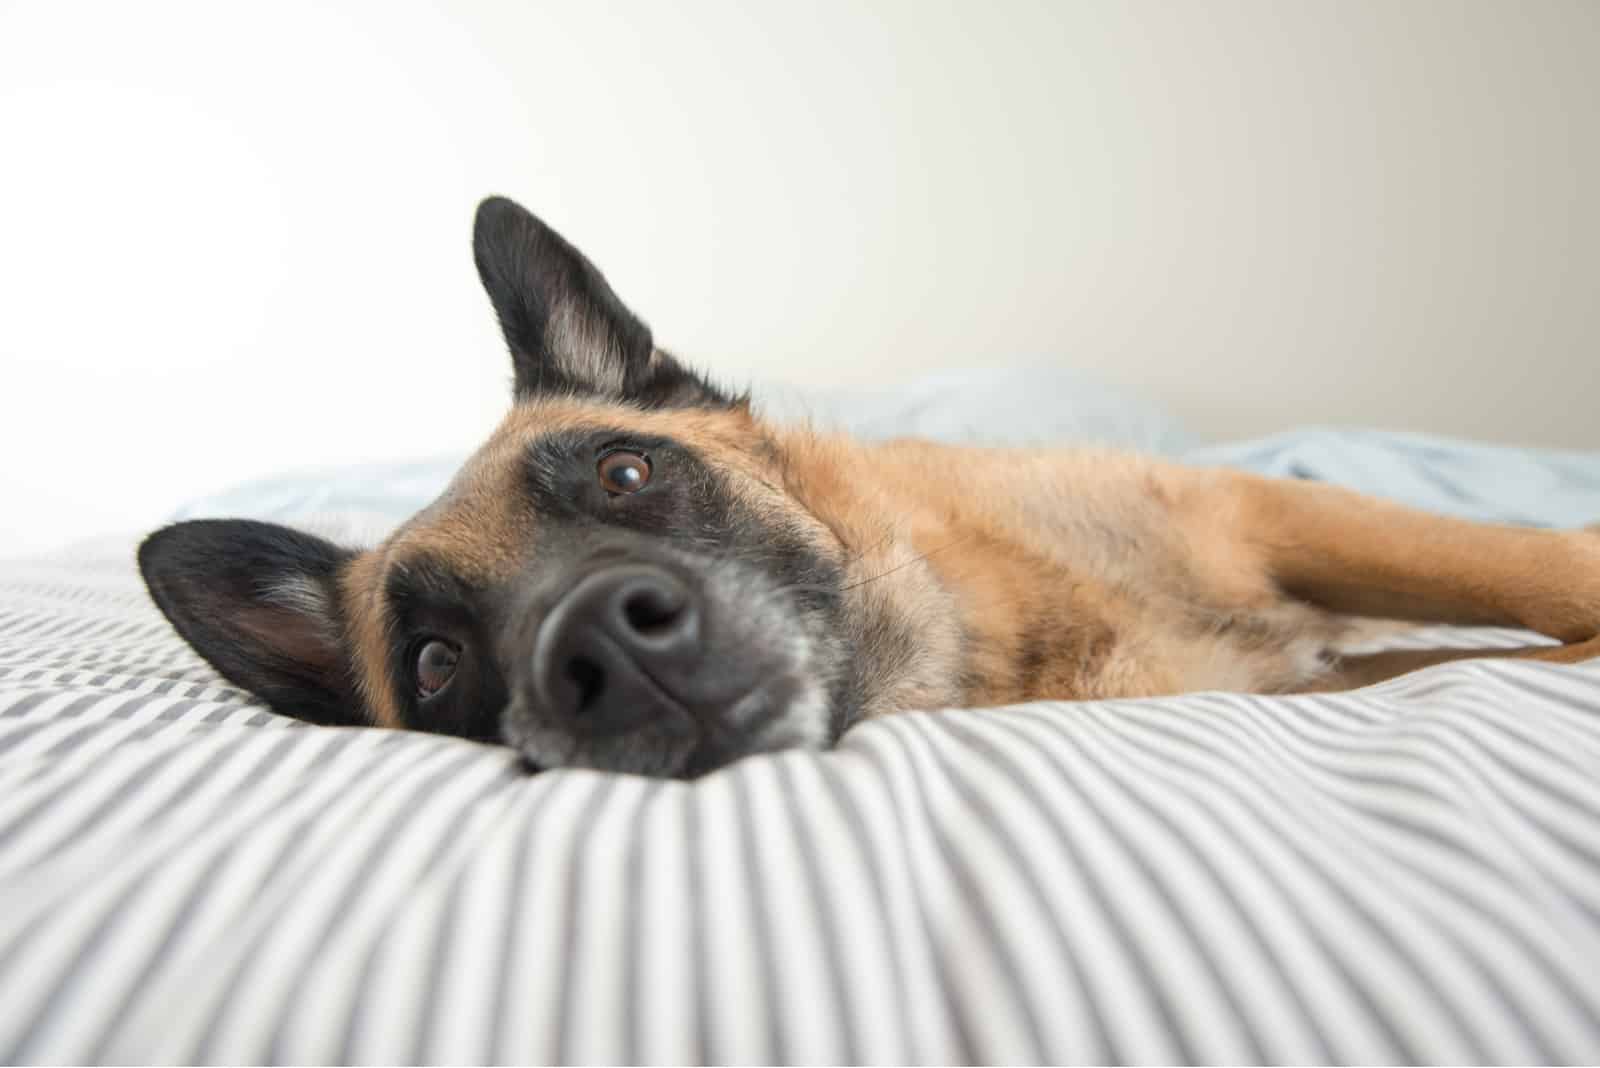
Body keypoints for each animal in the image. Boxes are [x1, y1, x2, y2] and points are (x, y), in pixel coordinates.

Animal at [137, 194, 1600, 777]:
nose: (606, 643)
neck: (979, 636)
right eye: (436, 665)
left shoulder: (1268, 515)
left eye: (626, 469)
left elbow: (1528, 570)